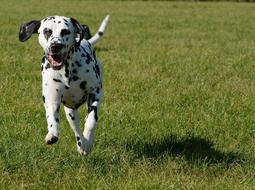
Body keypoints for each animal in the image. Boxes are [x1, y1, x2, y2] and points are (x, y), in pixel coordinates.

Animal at [17, 14, 109, 154]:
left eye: (65, 31)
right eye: (47, 31)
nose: (56, 46)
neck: (67, 70)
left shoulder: (95, 93)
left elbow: (91, 120)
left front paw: (88, 141)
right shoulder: (51, 99)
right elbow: (52, 117)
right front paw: (52, 134)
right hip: (70, 113)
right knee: (76, 130)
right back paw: (80, 144)